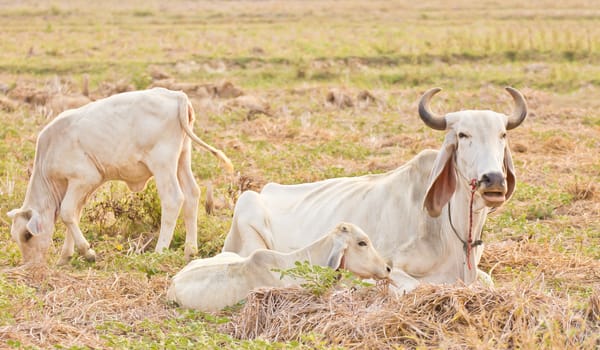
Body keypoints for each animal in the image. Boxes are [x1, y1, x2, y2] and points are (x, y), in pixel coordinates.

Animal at [7, 87, 232, 266]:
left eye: (27, 235)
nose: (31, 265)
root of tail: (176, 96)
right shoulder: (84, 187)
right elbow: (75, 214)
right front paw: (65, 256)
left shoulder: (83, 179)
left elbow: (67, 212)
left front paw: (87, 252)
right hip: (182, 158)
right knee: (192, 195)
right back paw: (190, 251)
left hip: (163, 164)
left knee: (173, 200)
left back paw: (159, 251)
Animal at [223, 87, 528, 292]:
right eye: (463, 135)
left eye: (503, 134)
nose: (493, 180)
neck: (452, 232)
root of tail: (265, 190)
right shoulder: (391, 266)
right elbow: (412, 286)